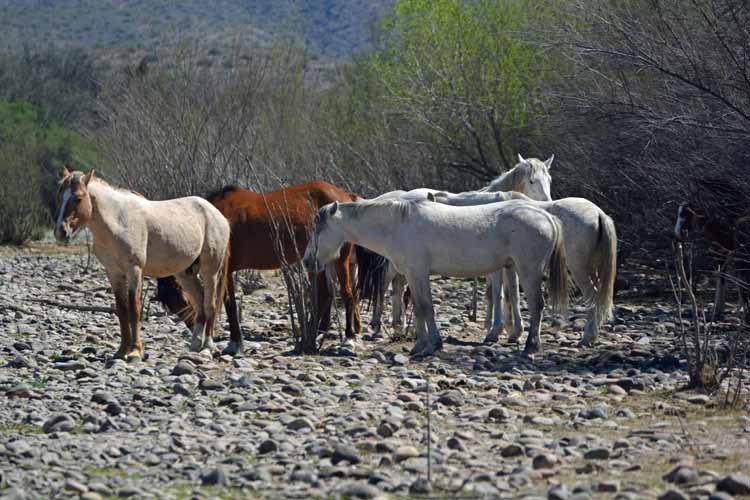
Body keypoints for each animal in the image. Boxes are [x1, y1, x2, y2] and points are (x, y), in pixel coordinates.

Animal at [54, 168, 231, 360]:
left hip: (210, 271)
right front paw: (121, 351)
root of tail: (217, 214)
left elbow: (134, 309)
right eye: (59, 195)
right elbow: (122, 310)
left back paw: (207, 347)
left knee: (209, 304)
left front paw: (135, 351)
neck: (118, 221)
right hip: (185, 274)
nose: (60, 232)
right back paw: (195, 345)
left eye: (78, 198)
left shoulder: (134, 270)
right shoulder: (114, 273)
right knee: (199, 302)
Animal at [156, 182, 362, 354]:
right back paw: (318, 332)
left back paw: (349, 339)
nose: (192, 325)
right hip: (322, 260)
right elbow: (229, 305)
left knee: (347, 294)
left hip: (340, 259)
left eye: (183, 300)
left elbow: (229, 305)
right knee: (325, 294)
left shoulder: (225, 270)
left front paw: (235, 344)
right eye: (170, 306)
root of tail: (344, 195)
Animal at [302, 197, 568, 358]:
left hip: (529, 270)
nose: (306, 261)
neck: (398, 225)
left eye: (318, 229)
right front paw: (420, 345)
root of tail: (546, 216)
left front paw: (432, 345)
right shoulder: (413, 276)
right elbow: (420, 309)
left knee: (537, 306)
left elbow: (426, 308)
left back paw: (531, 346)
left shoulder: (418, 273)